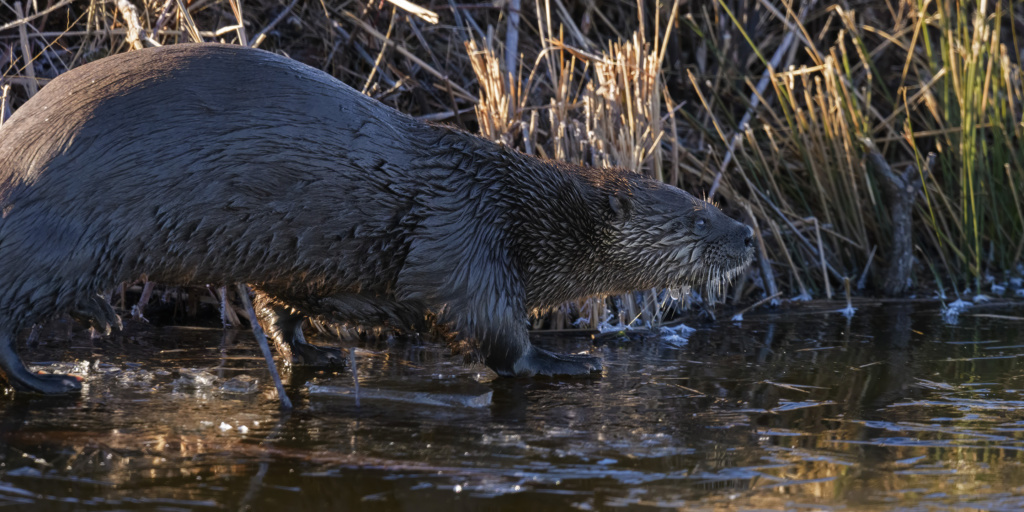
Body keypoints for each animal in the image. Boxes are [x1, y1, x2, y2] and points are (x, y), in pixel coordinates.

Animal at [0, 45, 753, 395]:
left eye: (712, 205)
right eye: (699, 218)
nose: (747, 234)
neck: (515, 207)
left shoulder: (298, 258)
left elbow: (281, 310)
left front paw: (317, 354)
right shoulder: (468, 243)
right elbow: (495, 335)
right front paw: (567, 362)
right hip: (59, 243)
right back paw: (51, 381)